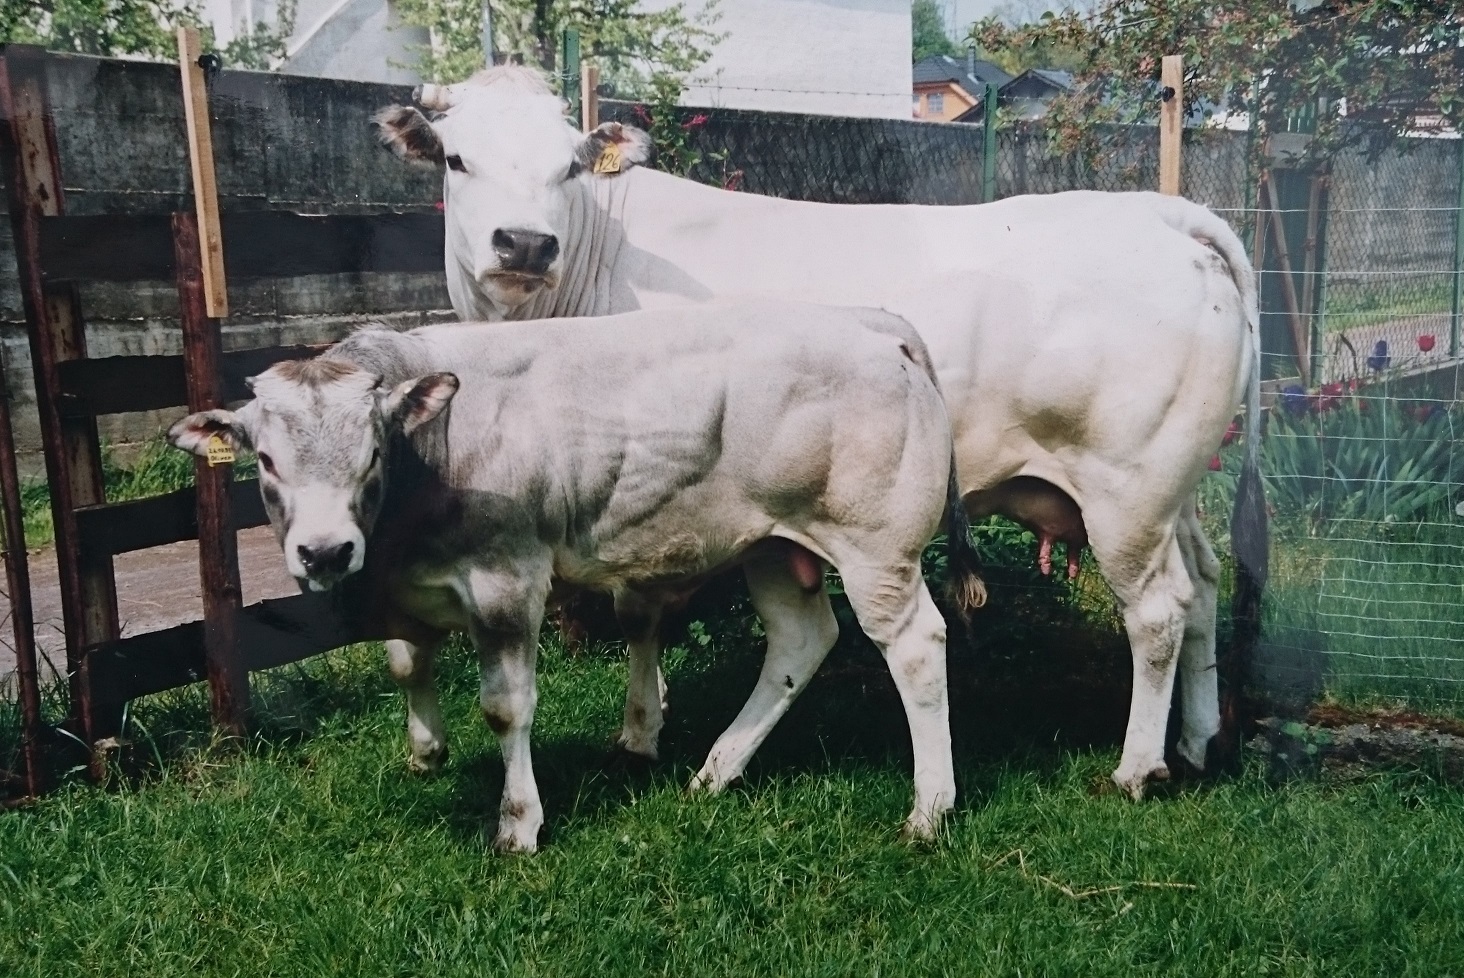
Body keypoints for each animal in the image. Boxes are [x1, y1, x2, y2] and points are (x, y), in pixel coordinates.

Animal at [166, 301, 983, 849]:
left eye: (371, 451)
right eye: (267, 461)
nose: (326, 552)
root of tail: (868, 319)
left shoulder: (506, 580)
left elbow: (506, 707)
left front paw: (518, 822)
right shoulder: (407, 583)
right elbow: (406, 663)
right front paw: (426, 751)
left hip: (877, 551)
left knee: (915, 647)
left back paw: (929, 810)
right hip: (772, 547)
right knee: (798, 643)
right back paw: (715, 771)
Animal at [377, 70, 1270, 802]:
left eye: (567, 165)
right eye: (457, 160)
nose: (526, 243)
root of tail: (1160, 211)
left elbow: (641, 608)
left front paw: (640, 728)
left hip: (1127, 492)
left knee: (1156, 611)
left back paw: (1135, 768)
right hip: (1172, 492)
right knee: (1203, 588)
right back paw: (1195, 743)